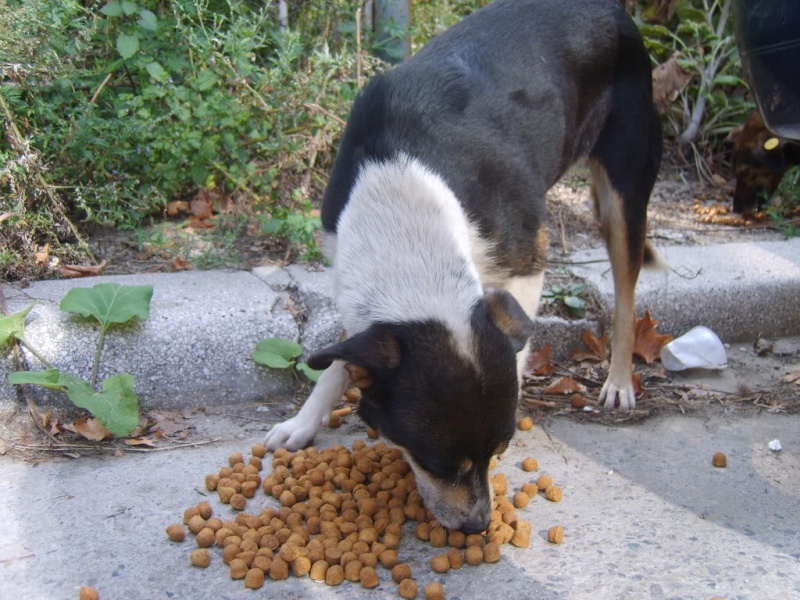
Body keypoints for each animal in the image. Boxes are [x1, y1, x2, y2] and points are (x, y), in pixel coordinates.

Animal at [264, 0, 664, 536]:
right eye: (437, 464)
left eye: (498, 451)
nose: (478, 526)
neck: (406, 216)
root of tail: (614, 10)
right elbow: (344, 360)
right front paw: (304, 422)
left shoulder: (527, 254)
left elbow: (518, 343)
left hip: (625, 192)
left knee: (625, 294)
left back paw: (619, 382)